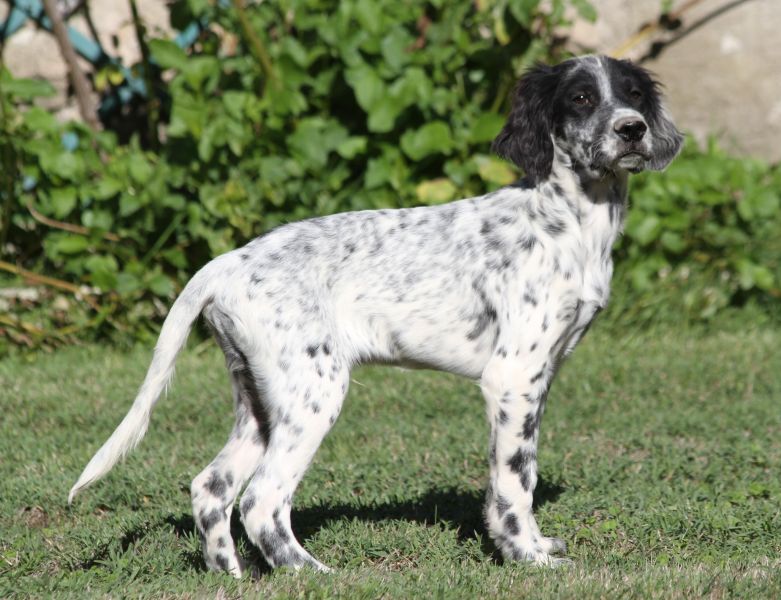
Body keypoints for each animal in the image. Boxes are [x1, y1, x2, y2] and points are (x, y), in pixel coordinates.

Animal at [69, 55, 682, 576]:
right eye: (580, 98)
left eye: (633, 95)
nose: (632, 129)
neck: (569, 222)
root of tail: (225, 262)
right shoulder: (512, 377)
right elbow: (512, 482)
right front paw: (525, 556)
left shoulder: (541, 376)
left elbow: (525, 472)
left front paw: (534, 544)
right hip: (313, 391)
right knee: (262, 499)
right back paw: (313, 575)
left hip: (260, 400)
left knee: (211, 488)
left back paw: (231, 574)